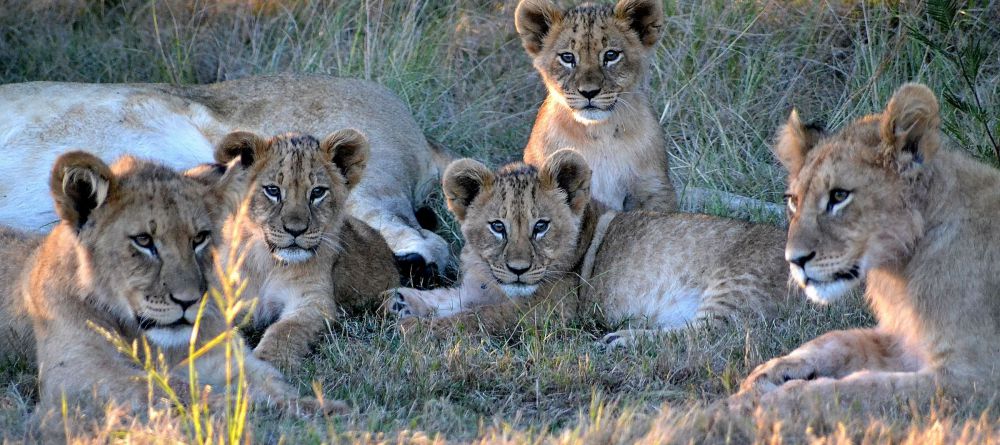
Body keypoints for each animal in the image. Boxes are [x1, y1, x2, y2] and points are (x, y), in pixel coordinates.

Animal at [0, 151, 336, 420]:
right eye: (143, 241)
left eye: (199, 238)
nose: (188, 301)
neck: (152, 341)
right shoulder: (76, 373)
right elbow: (166, 388)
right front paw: (238, 406)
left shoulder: (224, 358)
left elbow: (272, 382)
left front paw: (316, 408)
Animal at [205, 130, 399, 370]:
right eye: (272, 190)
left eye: (317, 192)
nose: (295, 230)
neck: (268, 262)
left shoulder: (314, 301)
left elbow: (286, 330)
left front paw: (270, 362)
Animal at [386, 150, 790, 346]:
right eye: (497, 227)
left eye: (541, 226)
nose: (518, 270)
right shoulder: (479, 288)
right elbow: (451, 298)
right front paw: (402, 299)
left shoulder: (547, 312)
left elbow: (473, 319)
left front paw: (412, 328)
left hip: (735, 284)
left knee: (710, 334)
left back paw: (622, 340)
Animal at [730, 83, 1000, 413]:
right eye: (793, 201)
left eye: (839, 196)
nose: (794, 260)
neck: (901, 270)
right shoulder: (904, 338)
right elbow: (840, 339)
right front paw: (769, 372)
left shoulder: (975, 381)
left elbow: (863, 388)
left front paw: (767, 403)